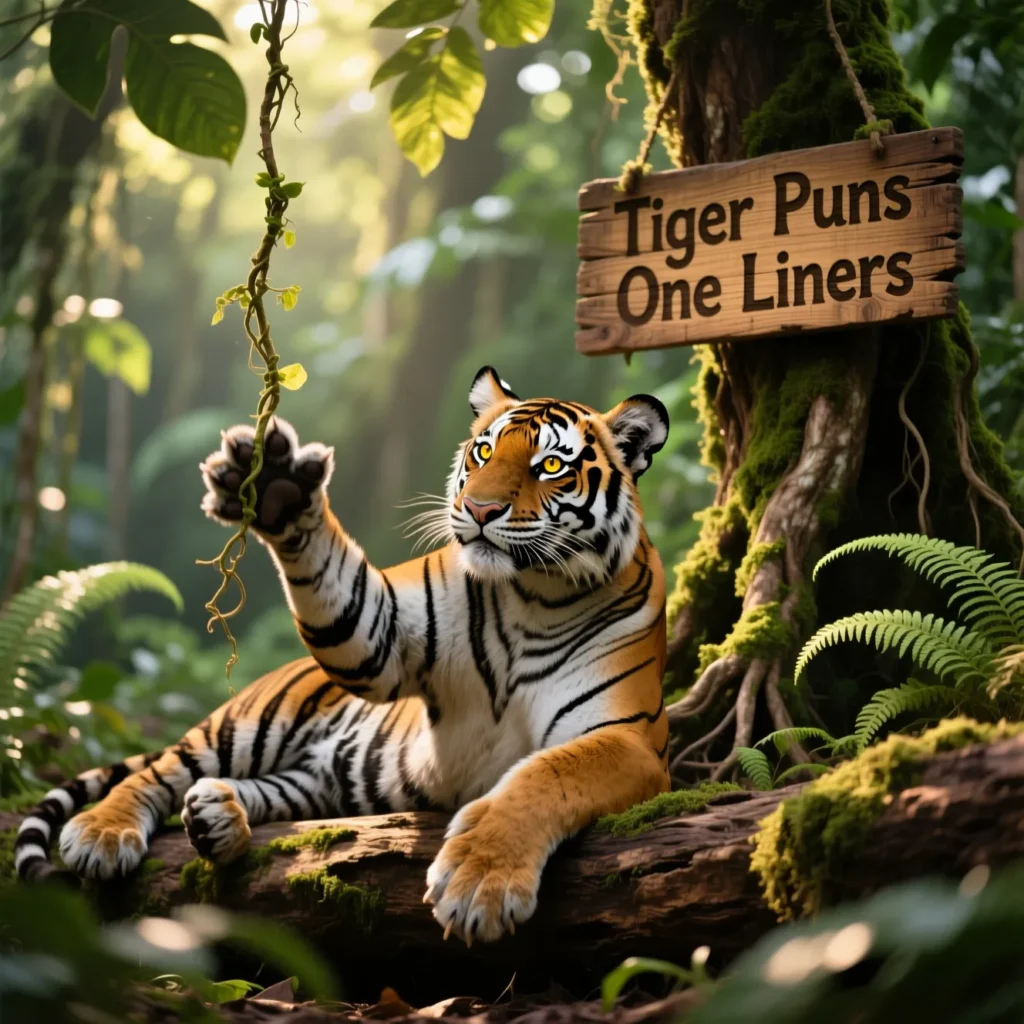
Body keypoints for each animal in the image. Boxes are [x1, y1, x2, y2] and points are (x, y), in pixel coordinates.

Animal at [15, 367, 671, 944]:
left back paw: (217, 817)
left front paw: (478, 883)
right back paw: (103, 832)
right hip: (245, 726)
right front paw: (278, 486)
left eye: (551, 465)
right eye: (483, 453)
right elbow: (339, 583)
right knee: (155, 771)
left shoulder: (625, 738)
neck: (533, 595)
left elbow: (543, 775)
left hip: (318, 781)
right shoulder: (381, 638)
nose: (480, 511)